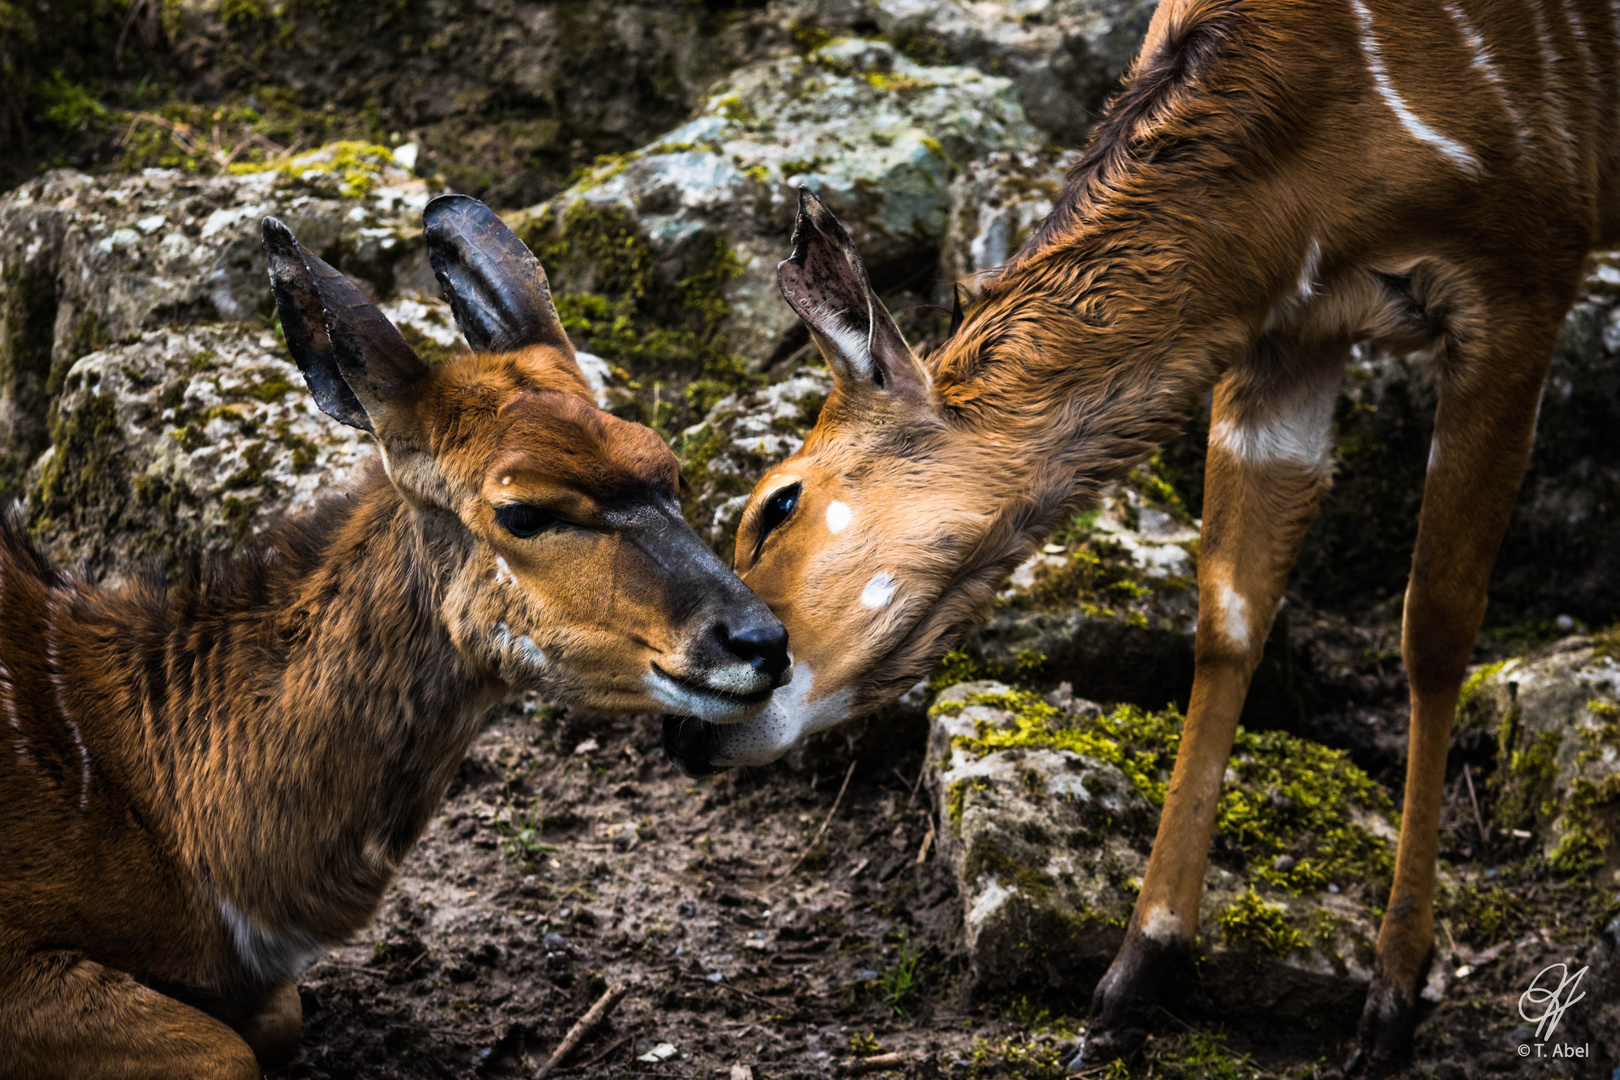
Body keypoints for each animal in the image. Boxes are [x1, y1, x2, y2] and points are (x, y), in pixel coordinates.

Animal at [660, 0, 1620, 1068]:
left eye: (773, 505)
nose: (684, 731)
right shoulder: (1291, 335)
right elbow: (1229, 617)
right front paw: (1131, 982)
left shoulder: (1521, 283)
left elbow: (1436, 631)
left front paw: (1393, 1001)